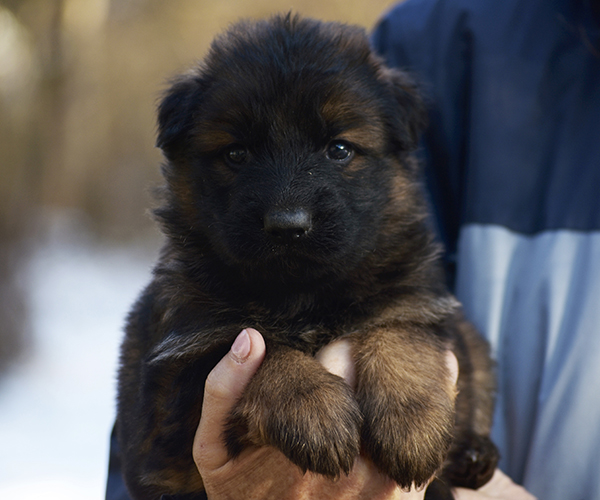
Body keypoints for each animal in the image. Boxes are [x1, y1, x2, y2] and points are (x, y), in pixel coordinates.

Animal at [115, 13, 500, 498]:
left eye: (339, 149)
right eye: (236, 153)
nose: (288, 225)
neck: (303, 295)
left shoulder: (418, 304)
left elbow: (400, 332)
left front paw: (412, 419)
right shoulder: (175, 382)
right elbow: (257, 349)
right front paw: (315, 410)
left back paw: (475, 455)